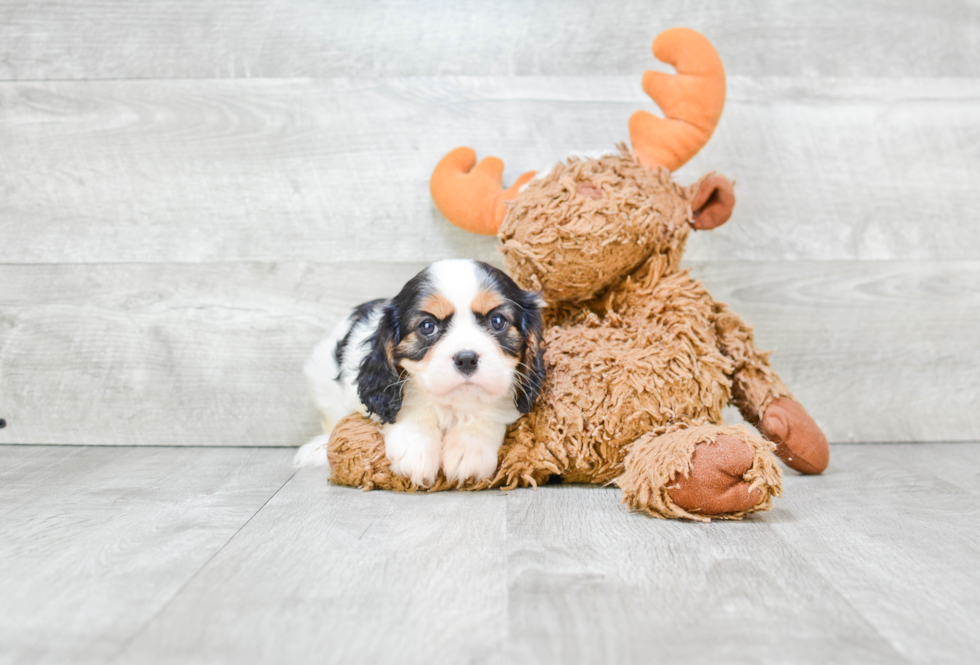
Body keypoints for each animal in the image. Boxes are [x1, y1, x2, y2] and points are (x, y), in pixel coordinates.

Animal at [294, 262, 548, 486]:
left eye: (497, 321)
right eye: (427, 326)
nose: (466, 358)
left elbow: (489, 412)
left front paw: (470, 448)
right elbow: (410, 408)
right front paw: (416, 448)